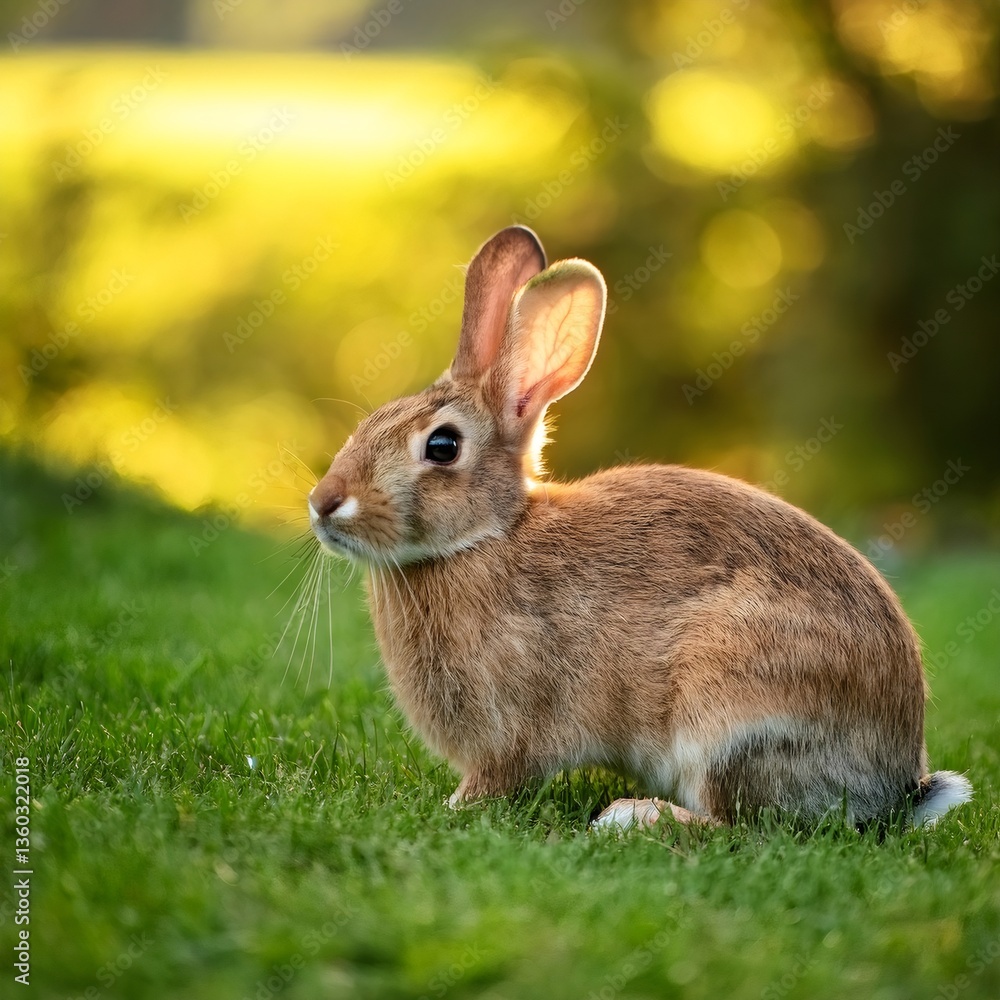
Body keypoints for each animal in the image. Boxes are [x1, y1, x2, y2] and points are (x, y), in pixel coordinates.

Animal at [308, 225, 972, 830]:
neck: (485, 538)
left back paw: (633, 817)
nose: (323, 502)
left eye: (442, 446)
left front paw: (454, 808)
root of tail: (894, 790)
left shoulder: (511, 730)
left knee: (738, 826)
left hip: (728, 714)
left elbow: (498, 777)